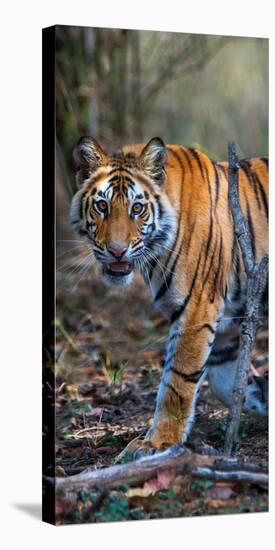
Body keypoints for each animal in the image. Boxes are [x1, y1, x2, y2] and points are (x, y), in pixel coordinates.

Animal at [70, 137, 268, 458]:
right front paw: (261, 395)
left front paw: (157, 442)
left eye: (137, 208)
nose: (116, 251)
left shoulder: (197, 310)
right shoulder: (226, 324)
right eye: (102, 206)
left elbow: (177, 381)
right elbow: (226, 382)